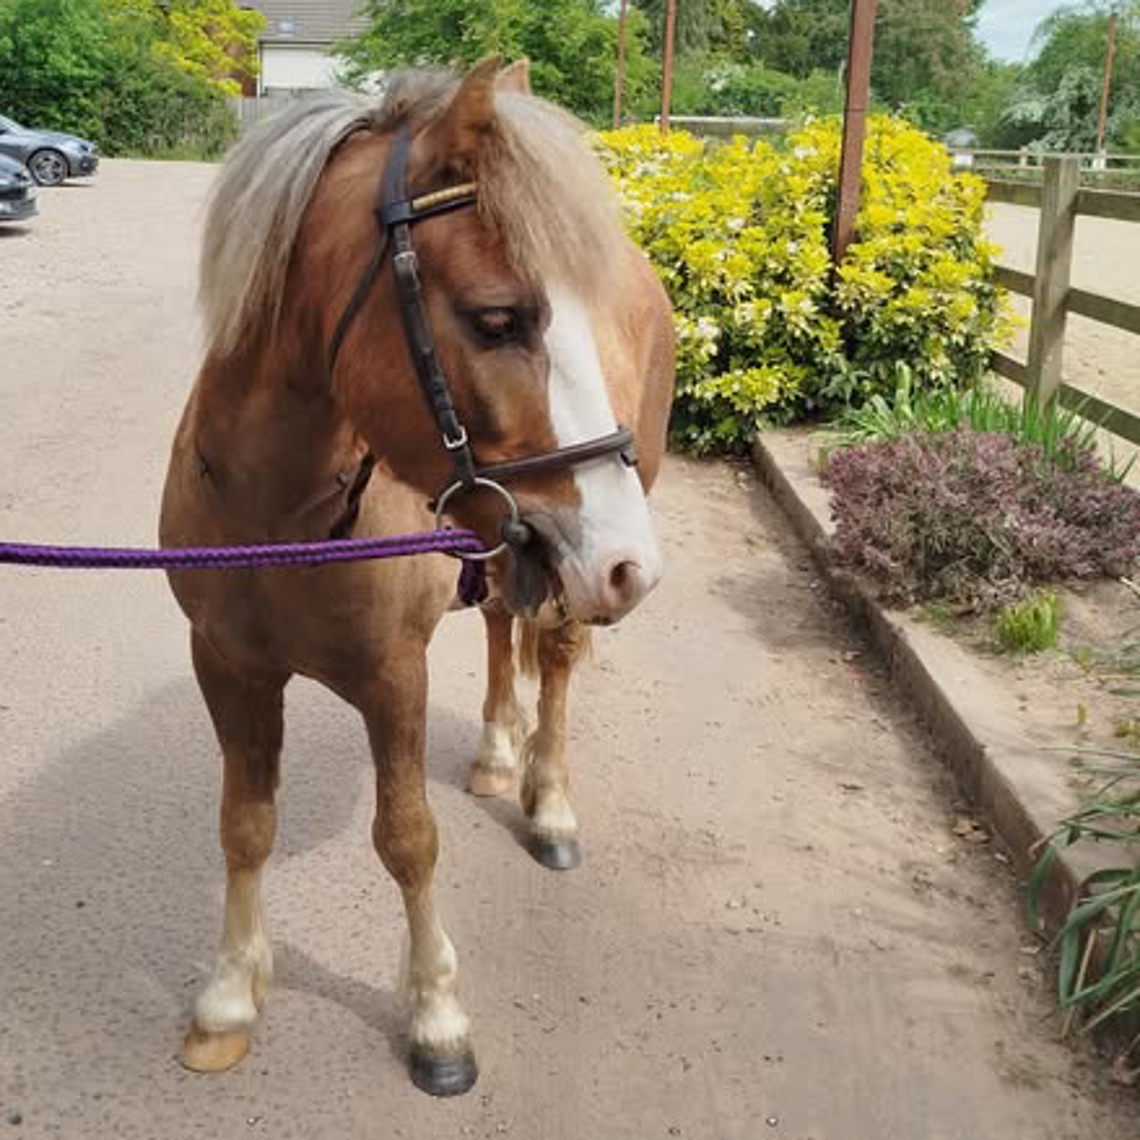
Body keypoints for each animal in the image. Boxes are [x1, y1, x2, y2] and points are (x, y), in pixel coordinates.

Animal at [159, 58, 675, 1097]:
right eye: (497, 319)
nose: (628, 563)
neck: (282, 521)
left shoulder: (393, 678)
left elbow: (407, 839)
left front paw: (436, 1017)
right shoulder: (226, 667)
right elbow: (244, 822)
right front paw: (230, 996)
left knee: (557, 662)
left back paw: (547, 800)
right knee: (502, 630)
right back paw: (496, 751)